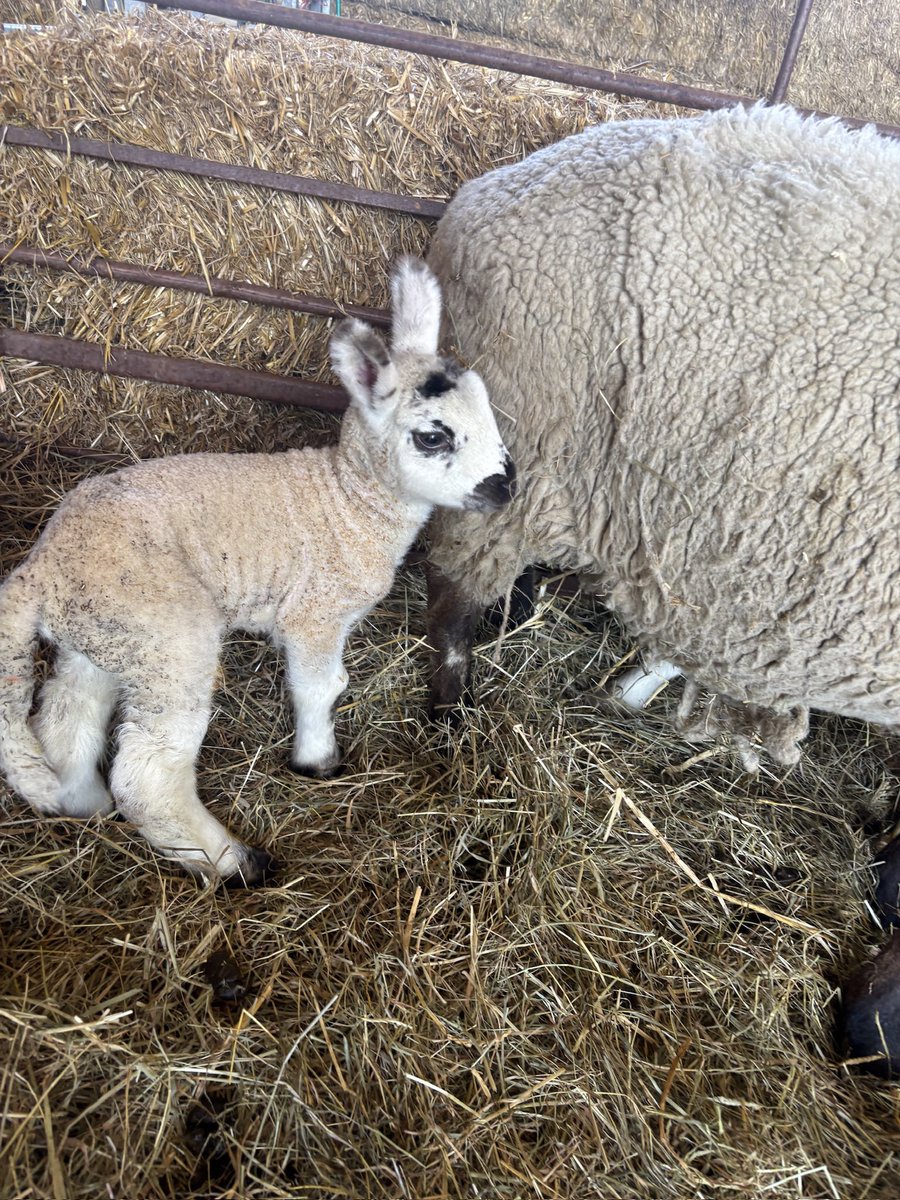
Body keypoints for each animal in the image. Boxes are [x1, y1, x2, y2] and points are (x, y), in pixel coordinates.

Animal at [0, 257, 516, 883]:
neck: (351, 501)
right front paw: (318, 761)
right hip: (167, 632)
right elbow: (322, 686)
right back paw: (233, 861)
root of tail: (37, 571)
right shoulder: (315, 614)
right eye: (433, 436)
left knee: (66, 717)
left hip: (107, 629)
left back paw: (85, 803)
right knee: (147, 773)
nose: (507, 486)